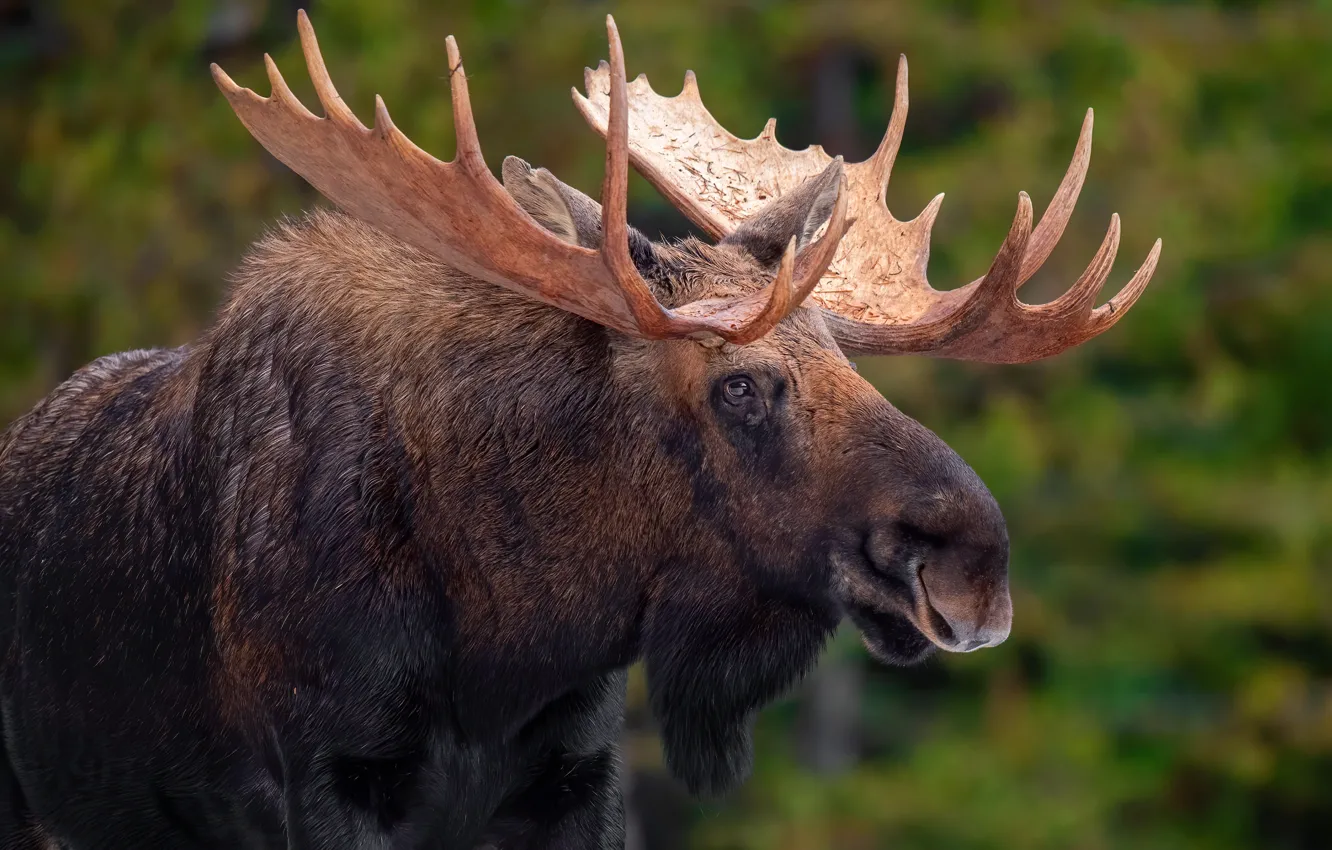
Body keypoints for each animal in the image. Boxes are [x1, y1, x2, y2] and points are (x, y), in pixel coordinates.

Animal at [0, 12, 1160, 850]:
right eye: (740, 385)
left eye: (849, 362)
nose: (973, 563)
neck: (510, 641)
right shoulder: (330, 773)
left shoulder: (575, 778)